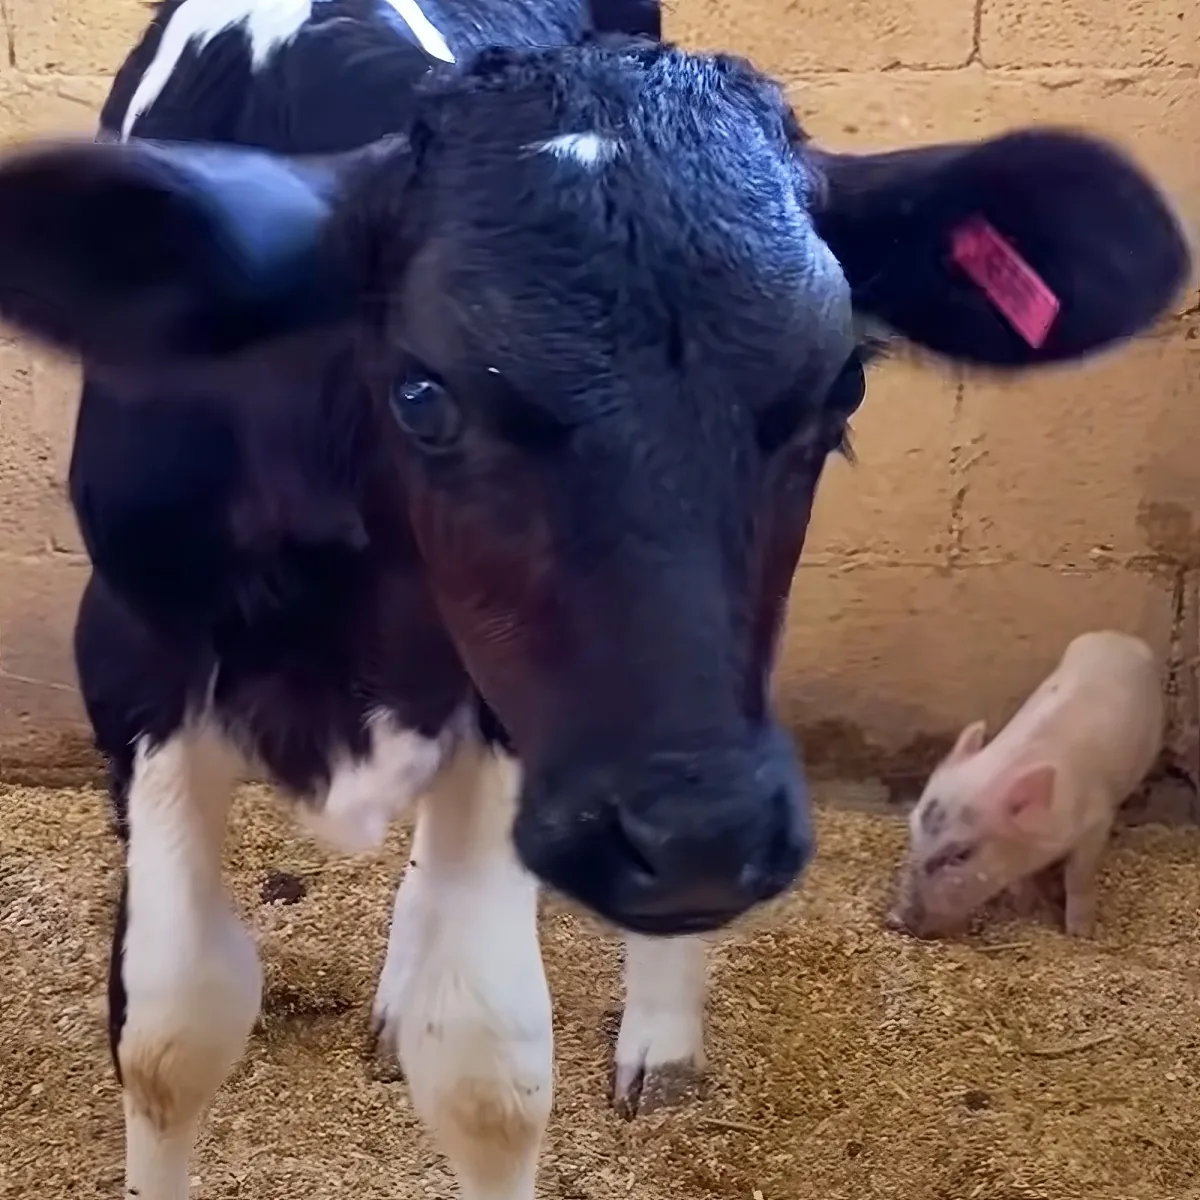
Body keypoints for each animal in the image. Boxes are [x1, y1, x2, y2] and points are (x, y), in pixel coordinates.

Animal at [887, 630, 1163, 940]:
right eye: (913, 827)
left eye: (961, 854)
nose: (895, 919)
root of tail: (1118, 636)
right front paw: (1022, 908)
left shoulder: (1095, 821)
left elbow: (1078, 877)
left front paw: (1080, 933)